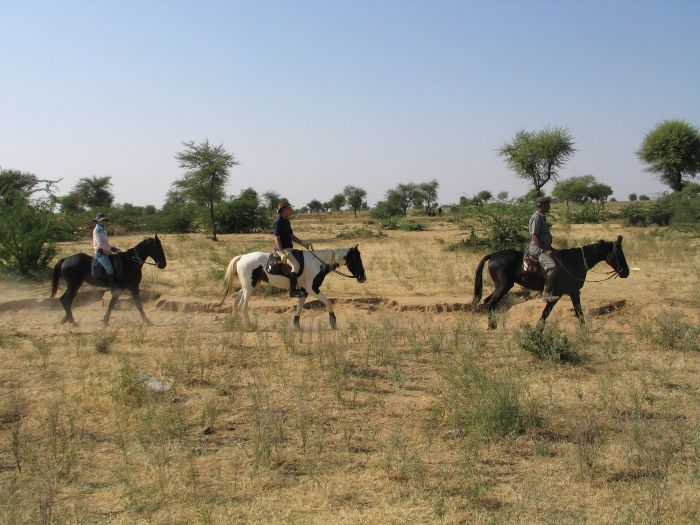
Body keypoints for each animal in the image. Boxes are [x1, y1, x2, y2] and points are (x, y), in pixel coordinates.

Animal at [220, 246, 366, 328]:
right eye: (356, 259)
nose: (363, 277)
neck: (317, 263)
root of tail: (241, 257)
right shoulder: (312, 288)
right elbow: (328, 302)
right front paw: (333, 321)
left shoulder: (304, 291)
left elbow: (299, 306)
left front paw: (296, 324)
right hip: (249, 287)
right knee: (243, 304)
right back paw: (249, 325)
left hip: (251, 285)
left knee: (235, 298)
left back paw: (235, 321)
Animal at [474, 236, 632, 328]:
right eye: (619, 254)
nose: (626, 272)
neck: (575, 261)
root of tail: (493, 255)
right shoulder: (563, 293)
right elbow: (549, 313)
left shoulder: (571, 292)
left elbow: (575, 312)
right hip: (504, 286)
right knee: (490, 303)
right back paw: (492, 326)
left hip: (500, 286)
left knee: (487, 301)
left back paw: (492, 325)